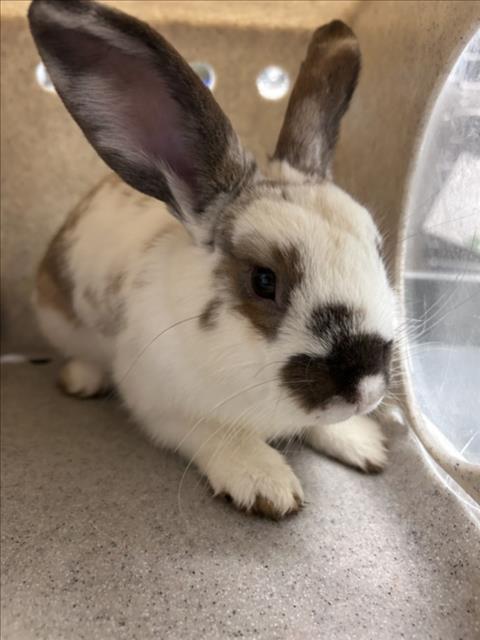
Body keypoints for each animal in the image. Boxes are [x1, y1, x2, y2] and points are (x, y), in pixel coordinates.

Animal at [29, 0, 396, 519]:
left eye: (378, 250)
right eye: (264, 280)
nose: (365, 387)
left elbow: (320, 424)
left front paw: (364, 444)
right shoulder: (162, 405)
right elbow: (219, 432)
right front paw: (265, 484)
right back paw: (81, 380)